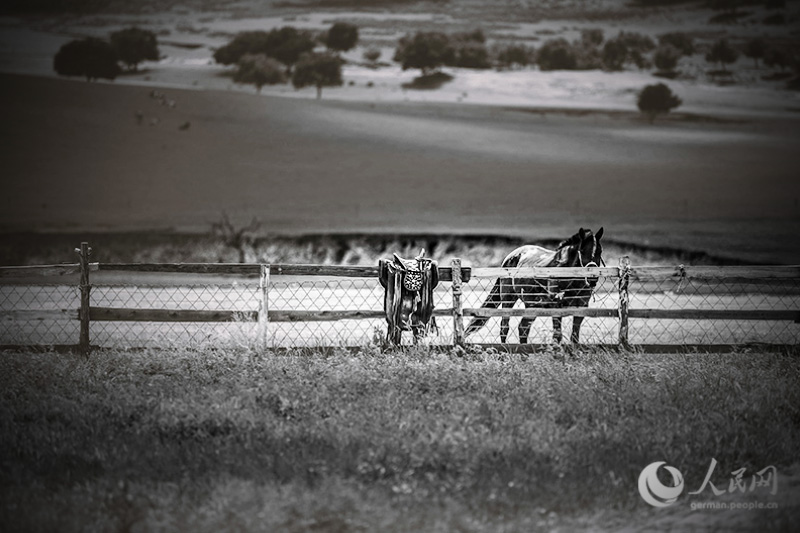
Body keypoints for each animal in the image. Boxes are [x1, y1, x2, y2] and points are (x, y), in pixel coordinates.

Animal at [464, 227, 605, 344]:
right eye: (582, 251)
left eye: (599, 251)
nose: (592, 279)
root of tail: (510, 257)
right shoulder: (556, 307)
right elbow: (557, 336)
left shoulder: (581, 308)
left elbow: (574, 336)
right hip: (508, 298)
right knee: (504, 327)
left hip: (533, 305)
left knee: (523, 327)